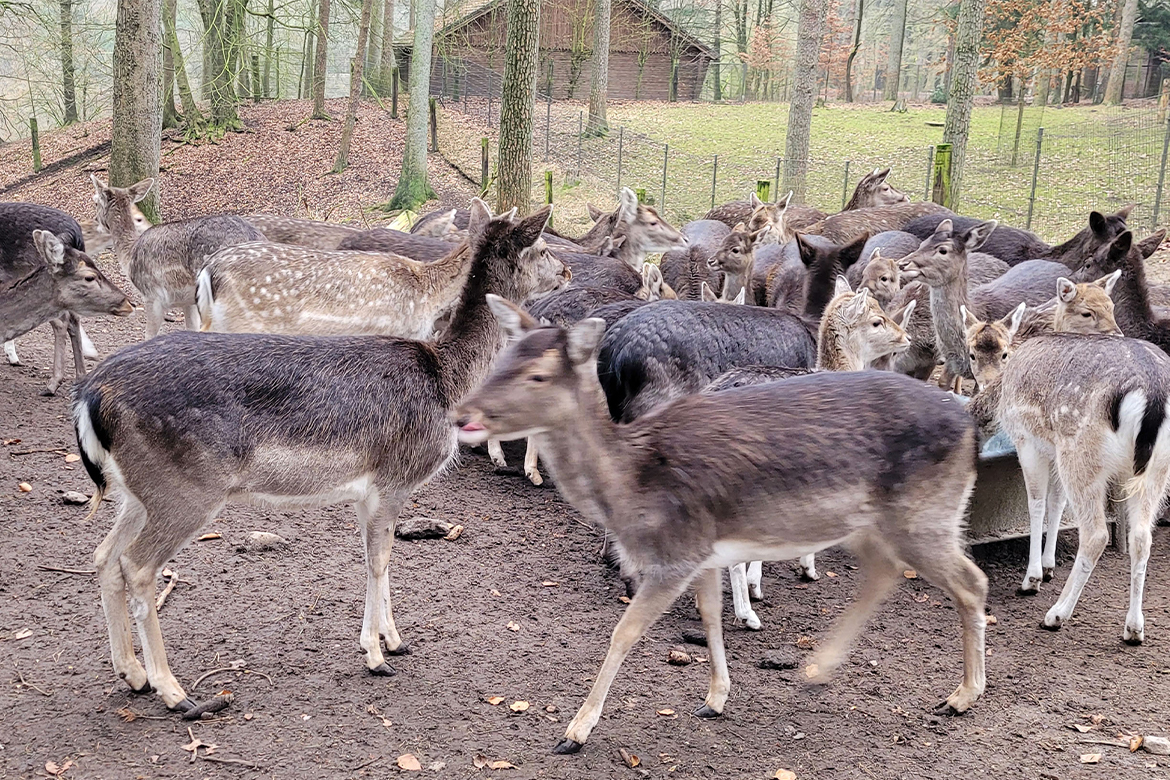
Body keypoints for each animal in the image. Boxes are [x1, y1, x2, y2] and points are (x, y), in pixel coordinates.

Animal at [91, 176, 265, 339]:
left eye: (96, 202)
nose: (95, 222)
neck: (129, 255)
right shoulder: (189, 302)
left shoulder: (152, 296)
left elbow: (149, 335)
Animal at [968, 336, 1170, 640]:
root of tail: (1153, 397)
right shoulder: (1053, 449)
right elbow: (1057, 503)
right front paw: (1048, 566)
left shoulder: (1027, 440)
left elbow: (1036, 503)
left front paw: (1033, 578)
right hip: (1155, 471)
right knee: (1142, 536)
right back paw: (1134, 628)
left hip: (1081, 454)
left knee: (1096, 534)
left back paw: (1056, 614)